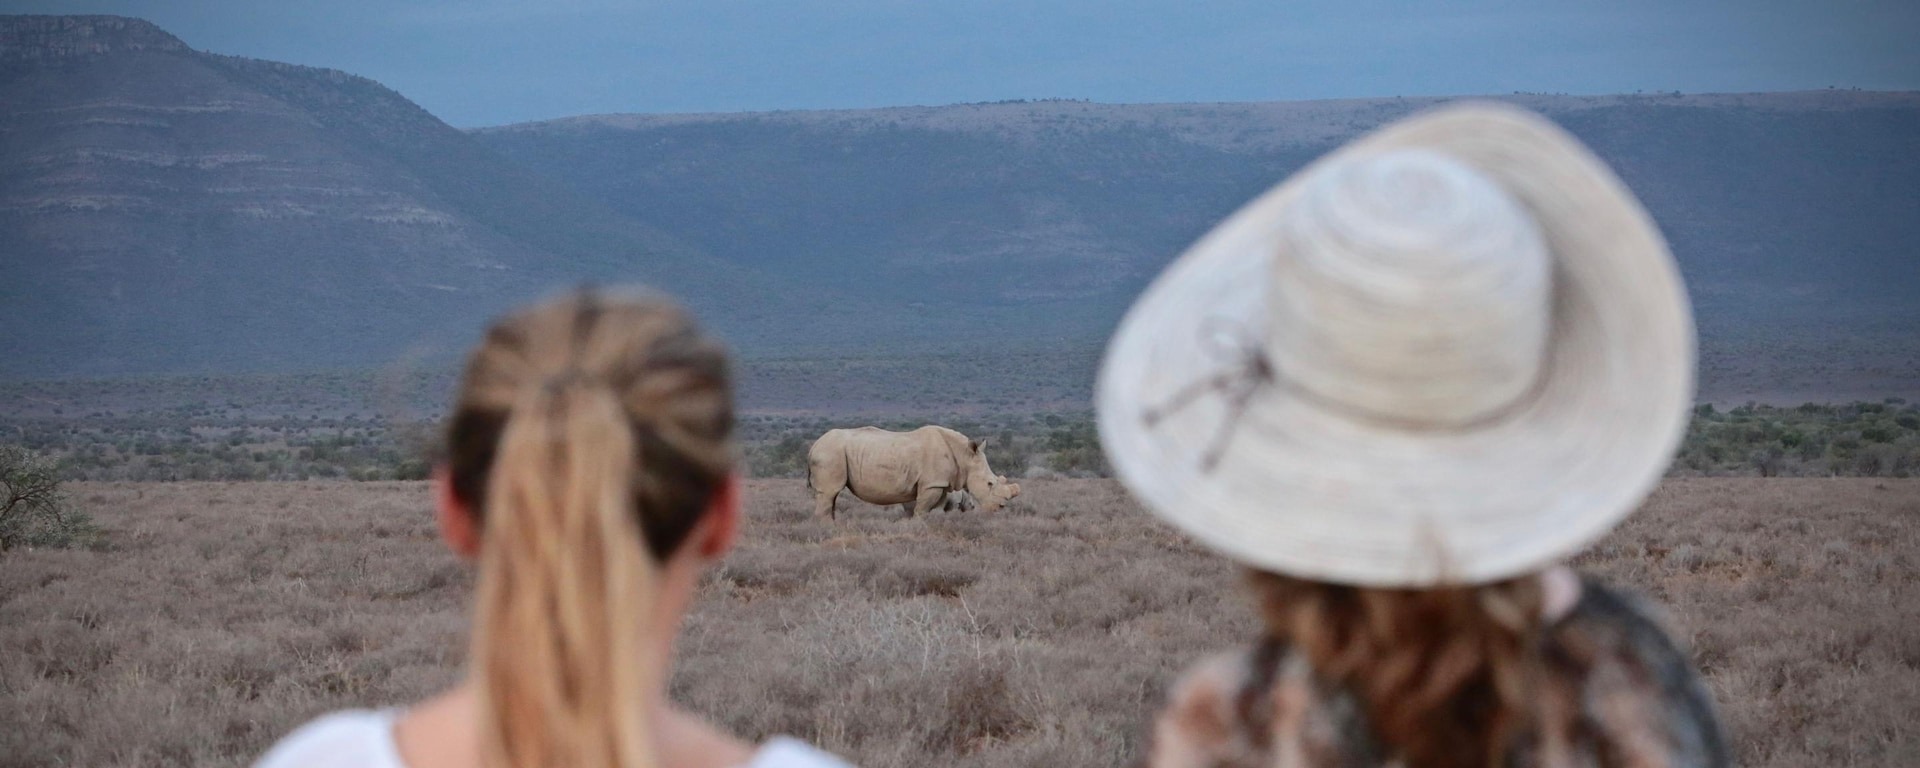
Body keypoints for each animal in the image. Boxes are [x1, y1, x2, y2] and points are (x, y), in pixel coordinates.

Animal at [806, 422, 1021, 518]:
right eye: (989, 483)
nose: (1000, 508)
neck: (964, 455)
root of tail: (813, 446)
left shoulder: (939, 484)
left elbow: (934, 509)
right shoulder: (931, 484)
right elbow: (922, 509)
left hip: (833, 453)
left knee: (831, 497)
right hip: (830, 453)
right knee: (829, 493)